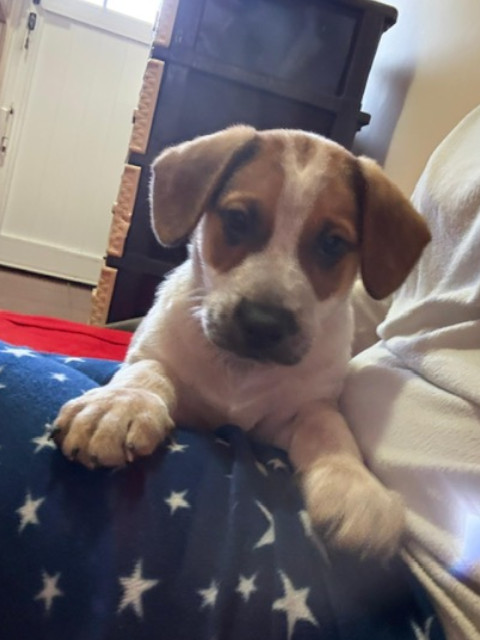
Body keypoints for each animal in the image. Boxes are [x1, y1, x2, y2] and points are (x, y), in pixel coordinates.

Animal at [52, 126, 431, 557]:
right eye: (237, 219)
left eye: (332, 243)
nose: (263, 324)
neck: (241, 371)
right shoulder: (156, 360)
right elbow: (146, 372)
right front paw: (117, 407)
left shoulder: (301, 411)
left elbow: (330, 429)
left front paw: (355, 486)